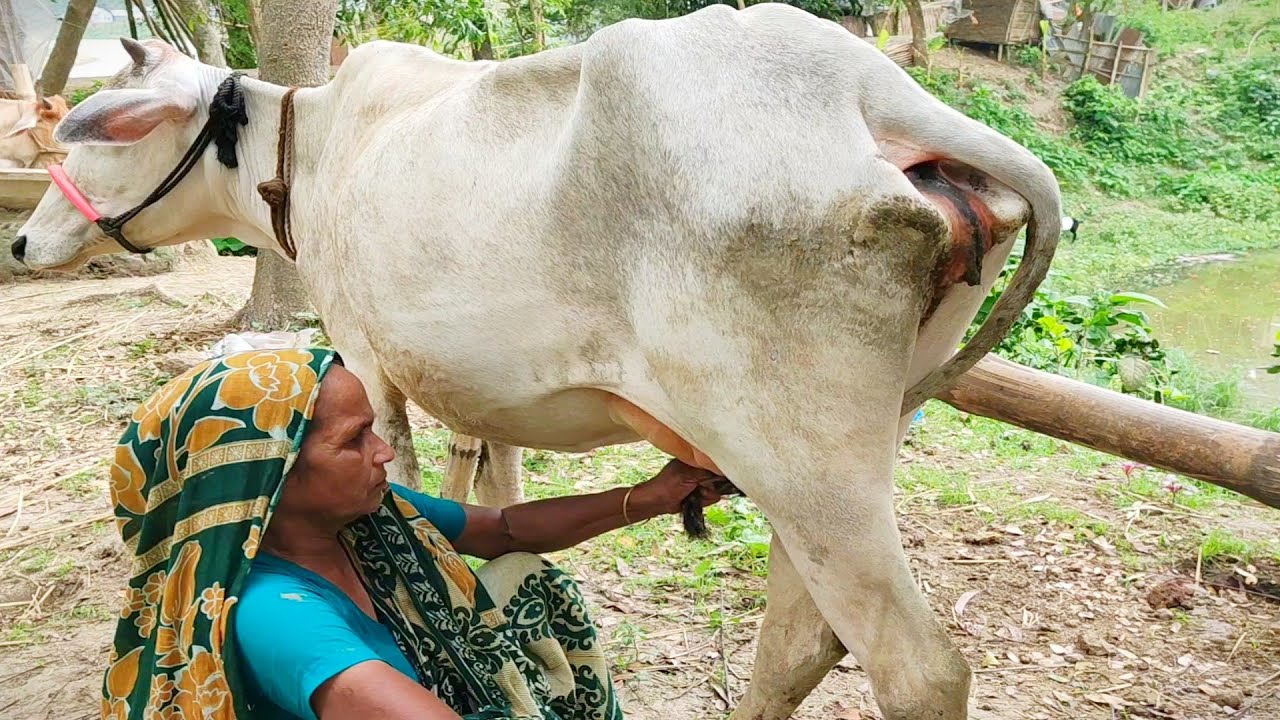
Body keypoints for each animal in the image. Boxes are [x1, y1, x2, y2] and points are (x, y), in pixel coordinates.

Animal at [17, 4, 1059, 712]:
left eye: (103, 130)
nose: (23, 244)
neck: (305, 151)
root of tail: (871, 89)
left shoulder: (365, 356)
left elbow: (402, 473)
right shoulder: (493, 399)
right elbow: (497, 494)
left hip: (800, 460)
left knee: (917, 669)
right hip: (842, 452)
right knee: (801, 642)